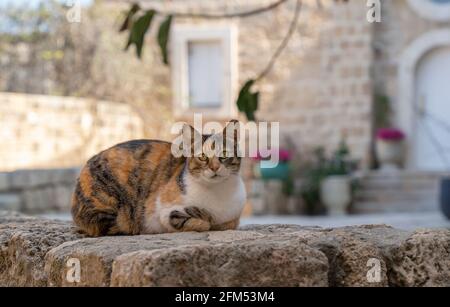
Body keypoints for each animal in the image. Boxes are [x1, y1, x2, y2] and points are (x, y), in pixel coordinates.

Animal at [71, 119, 246, 236]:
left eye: (224, 154)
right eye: (203, 157)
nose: (214, 167)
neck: (217, 193)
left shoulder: (233, 218)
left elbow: (227, 223)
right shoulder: (164, 211)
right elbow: (200, 223)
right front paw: (203, 218)